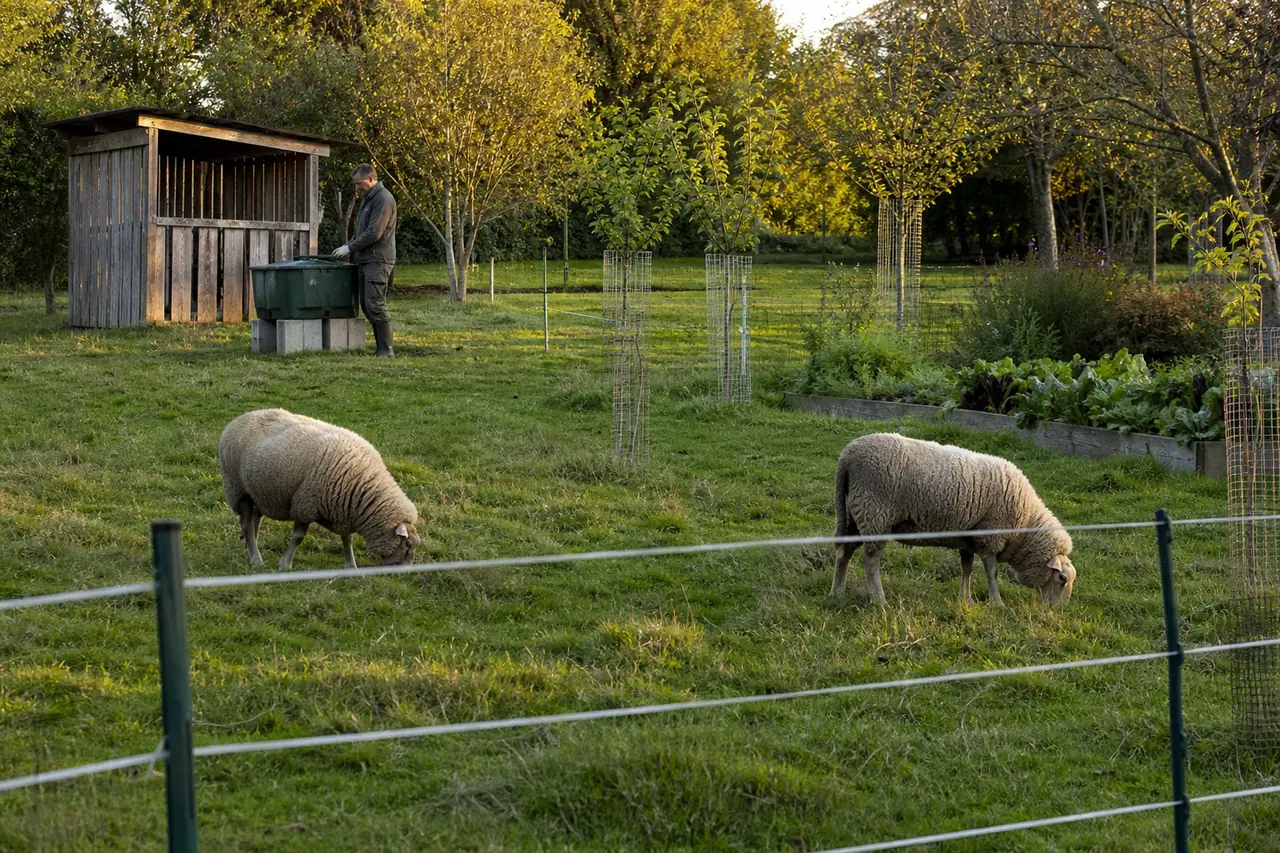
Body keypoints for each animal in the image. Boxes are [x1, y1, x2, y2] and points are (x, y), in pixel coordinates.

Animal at [219, 408, 421, 569]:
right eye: (408, 545)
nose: (406, 571)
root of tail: (242, 417)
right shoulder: (304, 504)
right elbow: (298, 537)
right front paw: (285, 565)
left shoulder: (343, 510)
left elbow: (347, 538)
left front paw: (351, 566)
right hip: (238, 488)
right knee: (246, 524)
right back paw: (256, 560)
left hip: (258, 491)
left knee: (255, 520)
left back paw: (249, 551)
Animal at [831, 432, 1075, 606]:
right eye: (1061, 579)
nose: (1058, 611)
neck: (1026, 524)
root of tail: (847, 456)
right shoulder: (990, 535)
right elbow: (992, 572)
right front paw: (997, 603)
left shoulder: (968, 538)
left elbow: (967, 568)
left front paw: (965, 600)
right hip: (875, 513)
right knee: (870, 560)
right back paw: (879, 599)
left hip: (856, 512)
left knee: (845, 551)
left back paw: (838, 592)